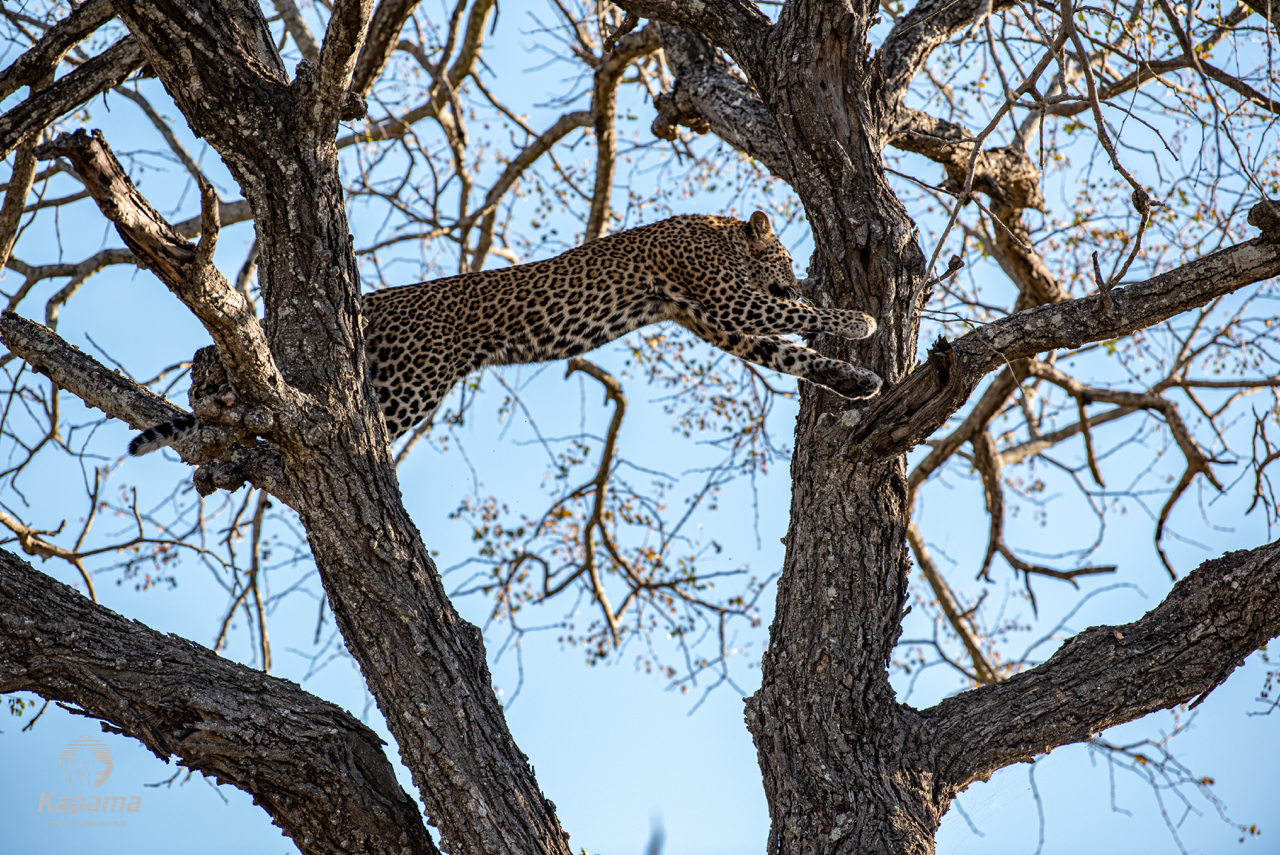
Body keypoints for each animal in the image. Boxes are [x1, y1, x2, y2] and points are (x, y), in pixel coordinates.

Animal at [128, 212, 880, 455]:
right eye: (787, 259)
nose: (798, 278)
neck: (722, 232)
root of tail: (370, 301)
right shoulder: (726, 302)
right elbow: (796, 324)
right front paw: (858, 320)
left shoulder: (718, 321)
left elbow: (789, 354)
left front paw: (859, 381)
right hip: (405, 386)